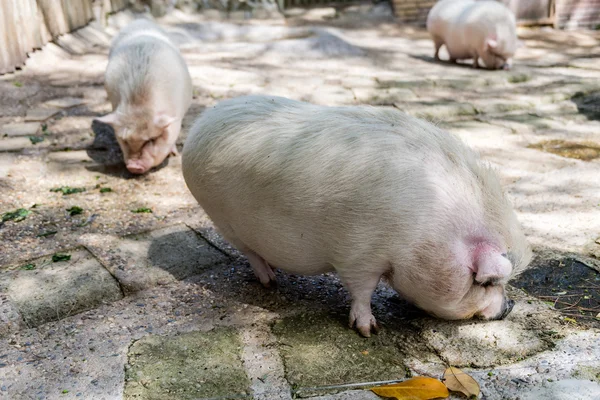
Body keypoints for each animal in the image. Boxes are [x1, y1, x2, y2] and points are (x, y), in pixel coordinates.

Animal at [95, 18, 191, 174]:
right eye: (124, 140)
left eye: (151, 140)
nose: (134, 166)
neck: (139, 102)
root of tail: (139, 20)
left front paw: (174, 154)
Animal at [180, 95, 532, 336]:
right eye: (484, 282)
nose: (510, 306)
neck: (426, 231)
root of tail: (199, 127)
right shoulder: (358, 255)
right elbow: (362, 291)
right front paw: (369, 331)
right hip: (222, 219)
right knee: (250, 253)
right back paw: (271, 281)